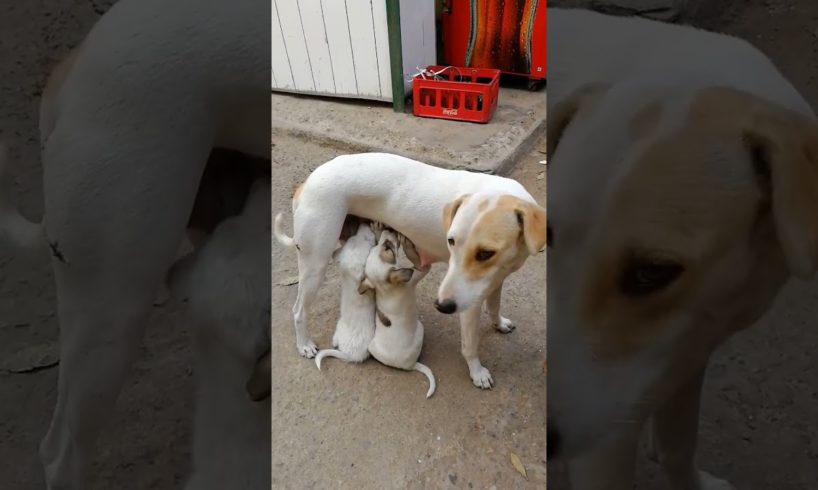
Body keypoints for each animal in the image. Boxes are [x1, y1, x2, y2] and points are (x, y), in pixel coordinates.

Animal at [270, 153, 544, 390]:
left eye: (486, 254)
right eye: (451, 241)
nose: (442, 305)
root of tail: (308, 181)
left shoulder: (497, 279)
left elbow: (495, 306)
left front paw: (499, 323)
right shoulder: (469, 304)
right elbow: (470, 344)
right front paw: (477, 372)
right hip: (314, 267)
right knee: (298, 311)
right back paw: (304, 344)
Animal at [544, 6, 816, 490]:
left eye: (653, 272)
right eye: (550, 235)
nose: (548, 439)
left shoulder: (688, 353)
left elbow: (678, 443)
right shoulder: (605, 440)